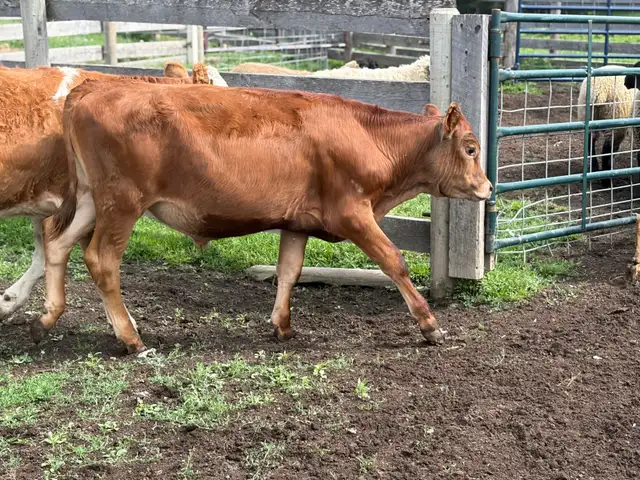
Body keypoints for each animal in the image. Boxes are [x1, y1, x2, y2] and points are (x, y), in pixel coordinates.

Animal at [39, 80, 492, 354]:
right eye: (471, 148)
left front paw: (282, 325)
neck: (367, 136)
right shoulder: (351, 213)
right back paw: (131, 337)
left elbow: (289, 271)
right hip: (122, 203)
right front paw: (429, 324)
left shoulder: (296, 223)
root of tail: (93, 87)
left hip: (91, 200)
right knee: (101, 260)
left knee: (56, 240)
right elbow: (394, 261)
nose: (488, 188)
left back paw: (49, 314)